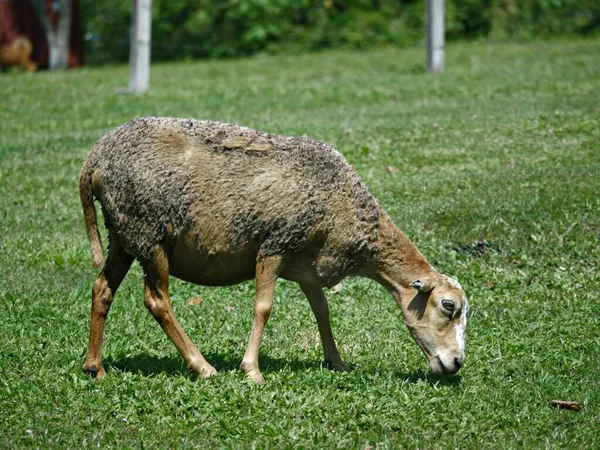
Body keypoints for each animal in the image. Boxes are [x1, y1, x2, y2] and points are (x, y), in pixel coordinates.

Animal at [78, 117, 468, 384]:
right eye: (448, 307)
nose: (457, 363)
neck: (346, 210)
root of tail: (94, 160)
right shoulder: (275, 244)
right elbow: (263, 307)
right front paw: (252, 371)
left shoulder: (308, 265)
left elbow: (323, 311)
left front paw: (336, 362)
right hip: (149, 234)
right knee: (157, 300)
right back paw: (202, 366)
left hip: (122, 235)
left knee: (102, 289)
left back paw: (95, 367)